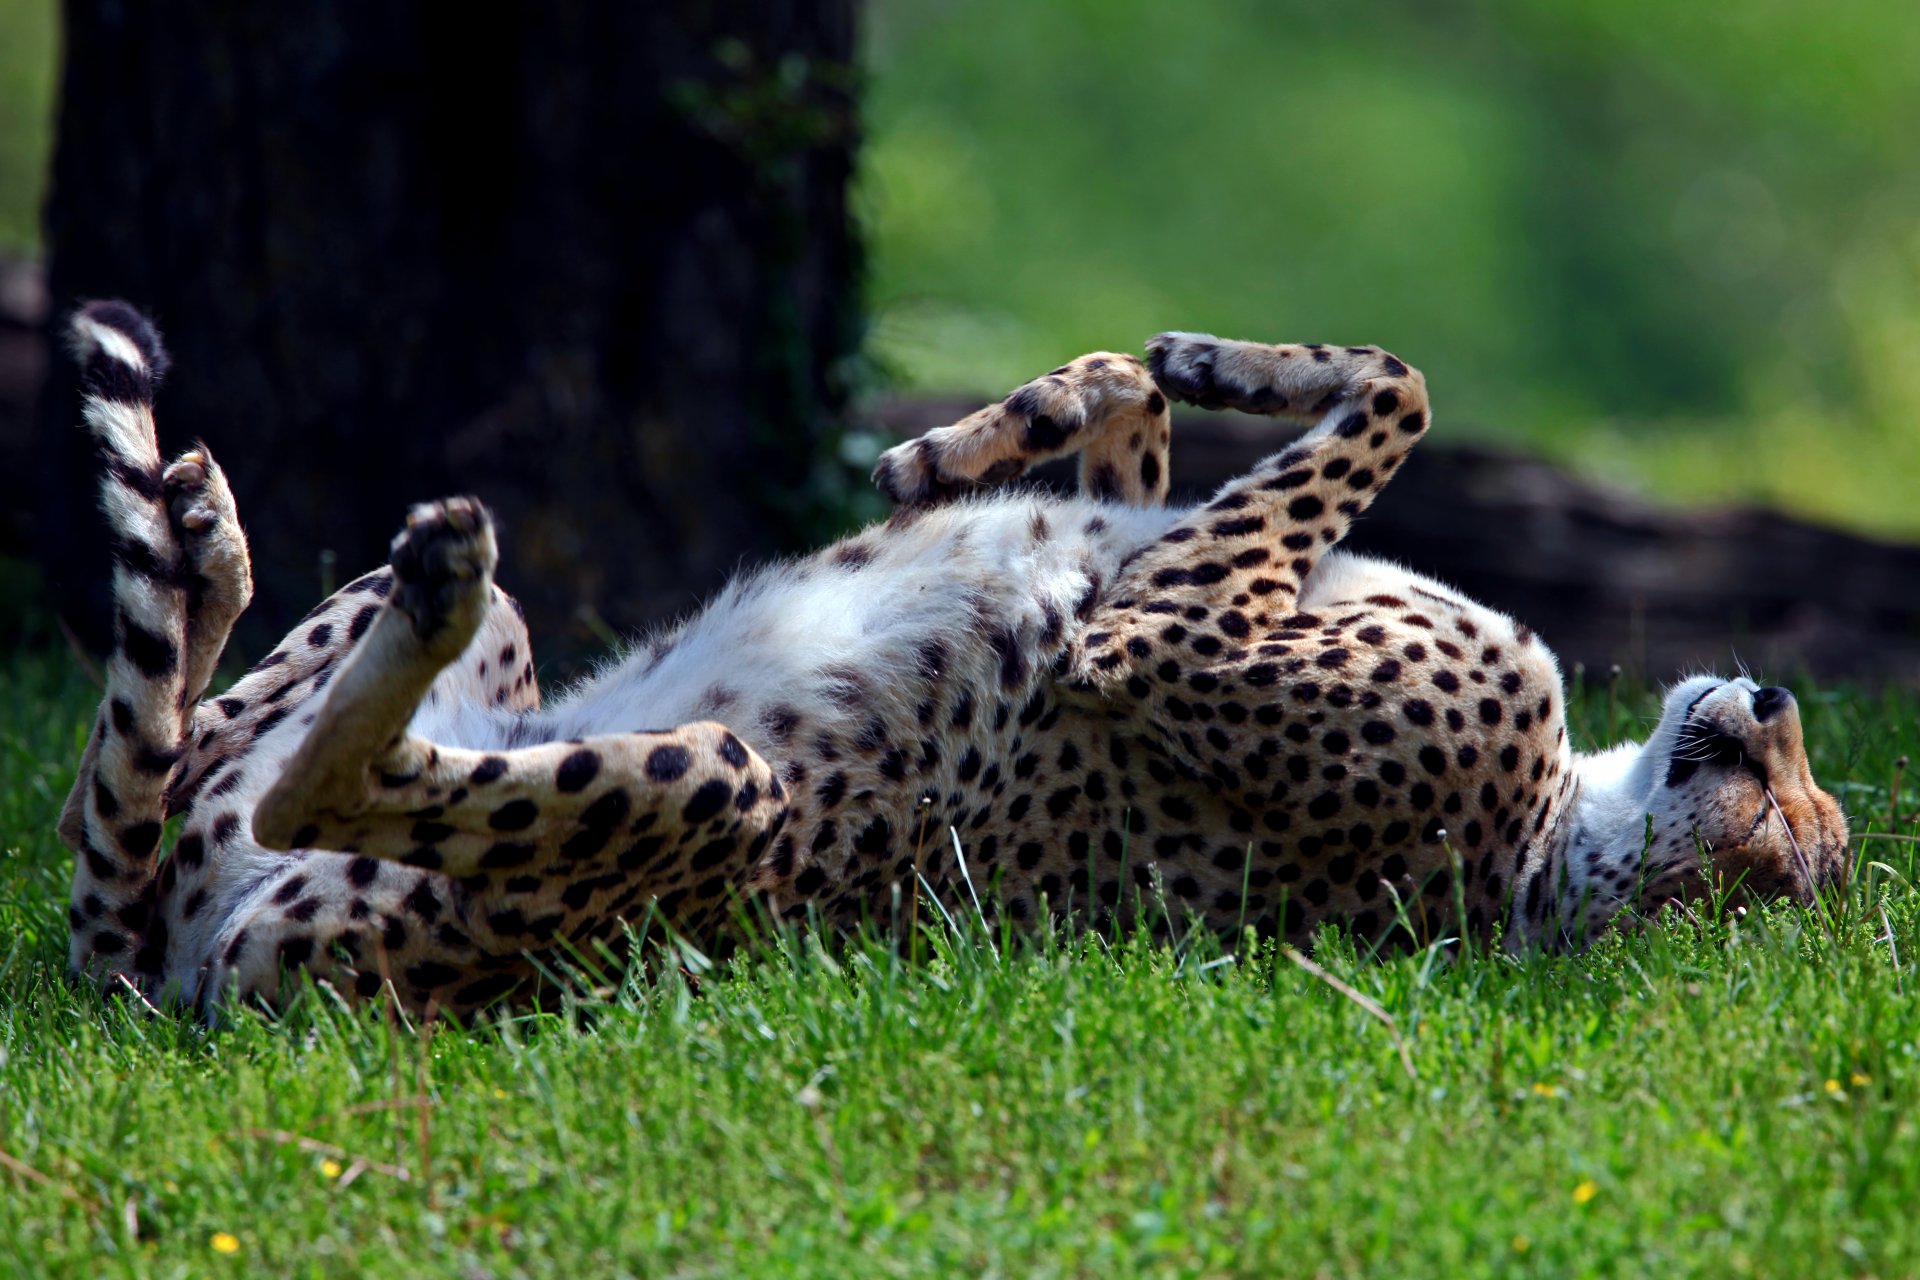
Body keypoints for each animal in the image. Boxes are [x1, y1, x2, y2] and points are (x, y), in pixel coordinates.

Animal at [60, 303, 1850, 1020]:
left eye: (1795, 843)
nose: (1771, 697)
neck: (1550, 839)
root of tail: (173, 976)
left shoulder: (1159, 632)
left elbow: (1398, 391)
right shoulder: (1155, 561)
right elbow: (1155, 416)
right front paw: (997, 430)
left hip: (718, 803)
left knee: (294, 787)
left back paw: (413, 577)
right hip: (463, 690)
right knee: (149, 766)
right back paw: (211, 539)